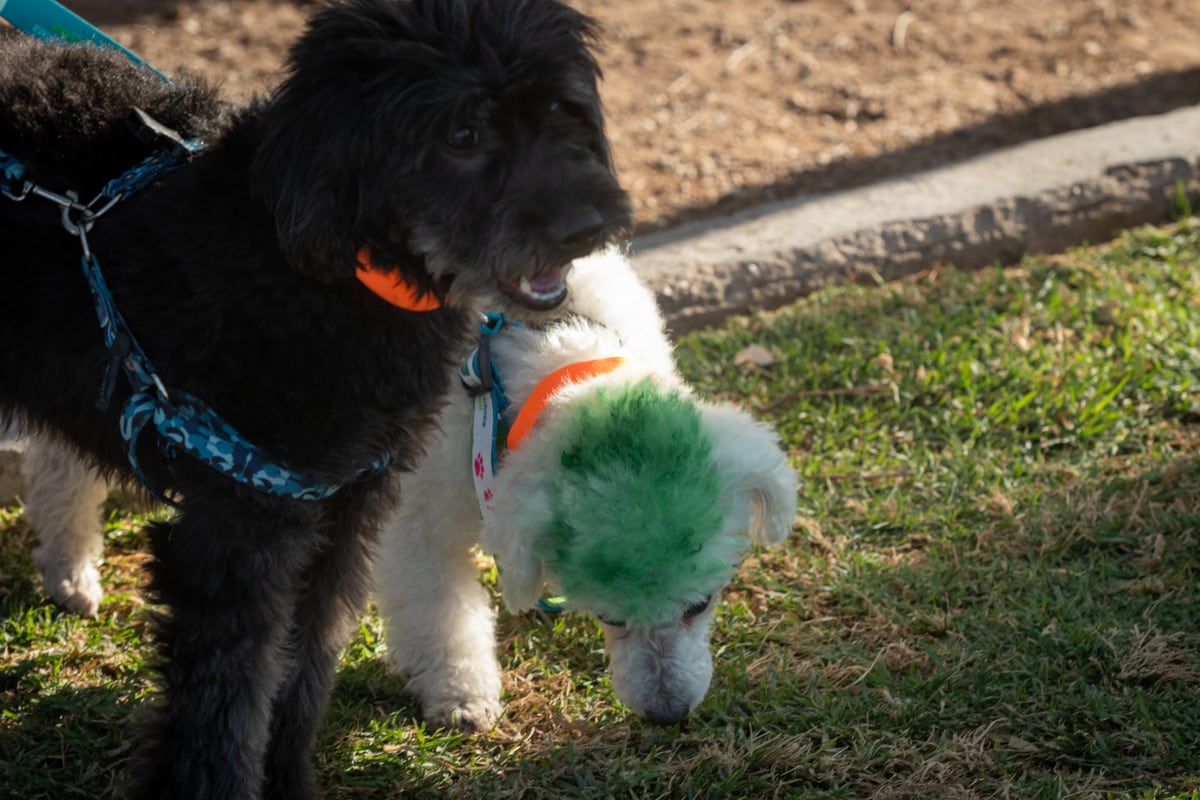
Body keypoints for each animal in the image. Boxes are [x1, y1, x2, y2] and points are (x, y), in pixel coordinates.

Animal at [0, 1, 633, 796]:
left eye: (560, 110)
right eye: (461, 135)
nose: (588, 227)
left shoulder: (341, 509)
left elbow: (300, 669)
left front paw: (288, 780)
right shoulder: (239, 527)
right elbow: (224, 706)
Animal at [374, 251, 796, 734]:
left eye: (700, 604)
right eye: (609, 617)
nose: (667, 714)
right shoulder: (421, 517)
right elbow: (438, 609)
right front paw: (461, 693)